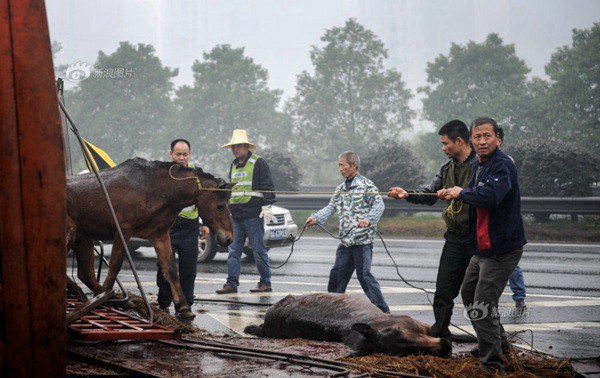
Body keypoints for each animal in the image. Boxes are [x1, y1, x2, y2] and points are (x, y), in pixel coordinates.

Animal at [67, 157, 233, 318]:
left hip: (83, 237)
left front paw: (183, 306)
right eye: (220, 206)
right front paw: (107, 294)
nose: (229, 239)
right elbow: (115, 264)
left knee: (85, 273)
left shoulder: (160, 235)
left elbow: (171, 269)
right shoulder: (123, 231)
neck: (153, 189)